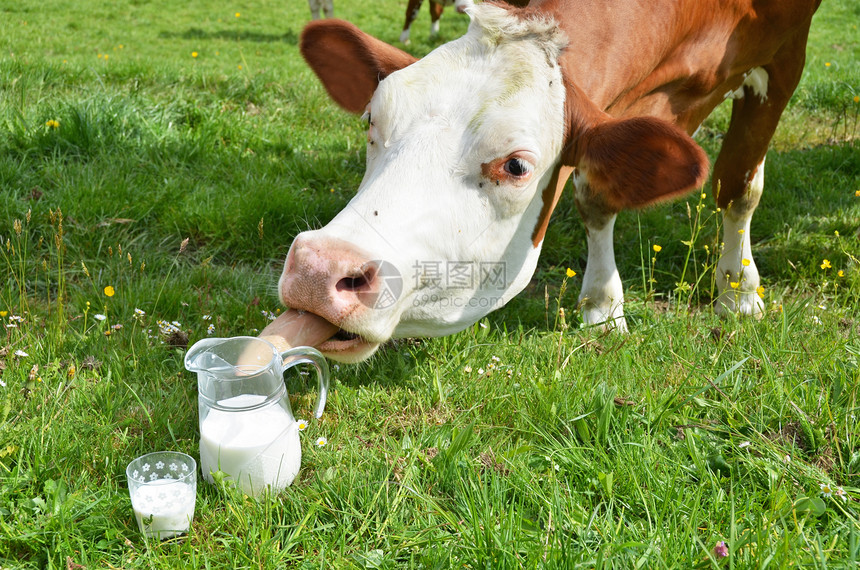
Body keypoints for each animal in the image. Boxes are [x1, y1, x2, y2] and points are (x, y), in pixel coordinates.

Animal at [264, 0, 828, 362]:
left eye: (516, 166)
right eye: (371, 121)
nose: (317, 269)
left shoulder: (786, 57)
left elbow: (739, 187)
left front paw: (738, 291)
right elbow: (596, 195)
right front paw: (603, 304)